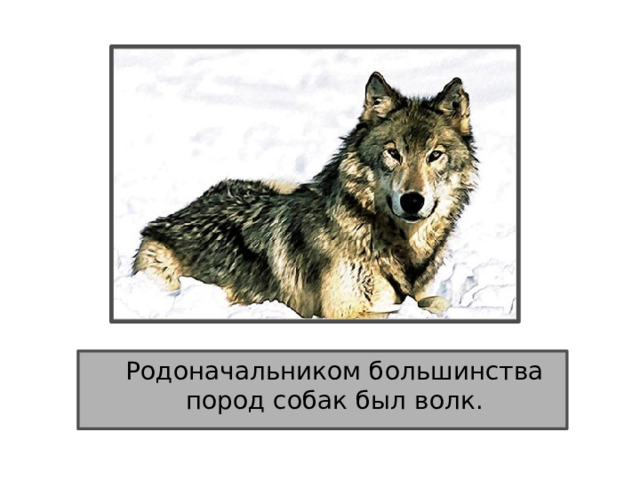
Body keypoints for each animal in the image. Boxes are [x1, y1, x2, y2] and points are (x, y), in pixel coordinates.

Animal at [133, 72, 477, 319]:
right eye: (393, 153)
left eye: (435, 155)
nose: (412, 200)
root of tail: (178, 212)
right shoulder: (346, 311)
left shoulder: (420, 292)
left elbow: (436, 302)